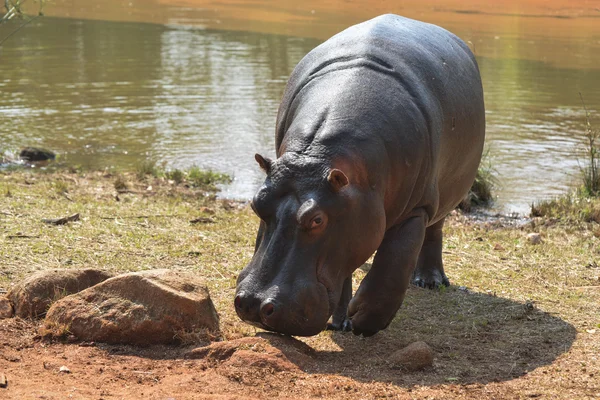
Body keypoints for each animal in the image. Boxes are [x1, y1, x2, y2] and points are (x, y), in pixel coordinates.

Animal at [234, 14, 488, 336]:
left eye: (317, 219)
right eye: (256, 203)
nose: (254, 304)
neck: (318, 156)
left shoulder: (413, 210)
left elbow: (391, 271)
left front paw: (362, 321)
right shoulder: (348, 215)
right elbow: (344, 267)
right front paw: (341, 322)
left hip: (445, 194)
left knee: (435, 230)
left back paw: (430, 281)